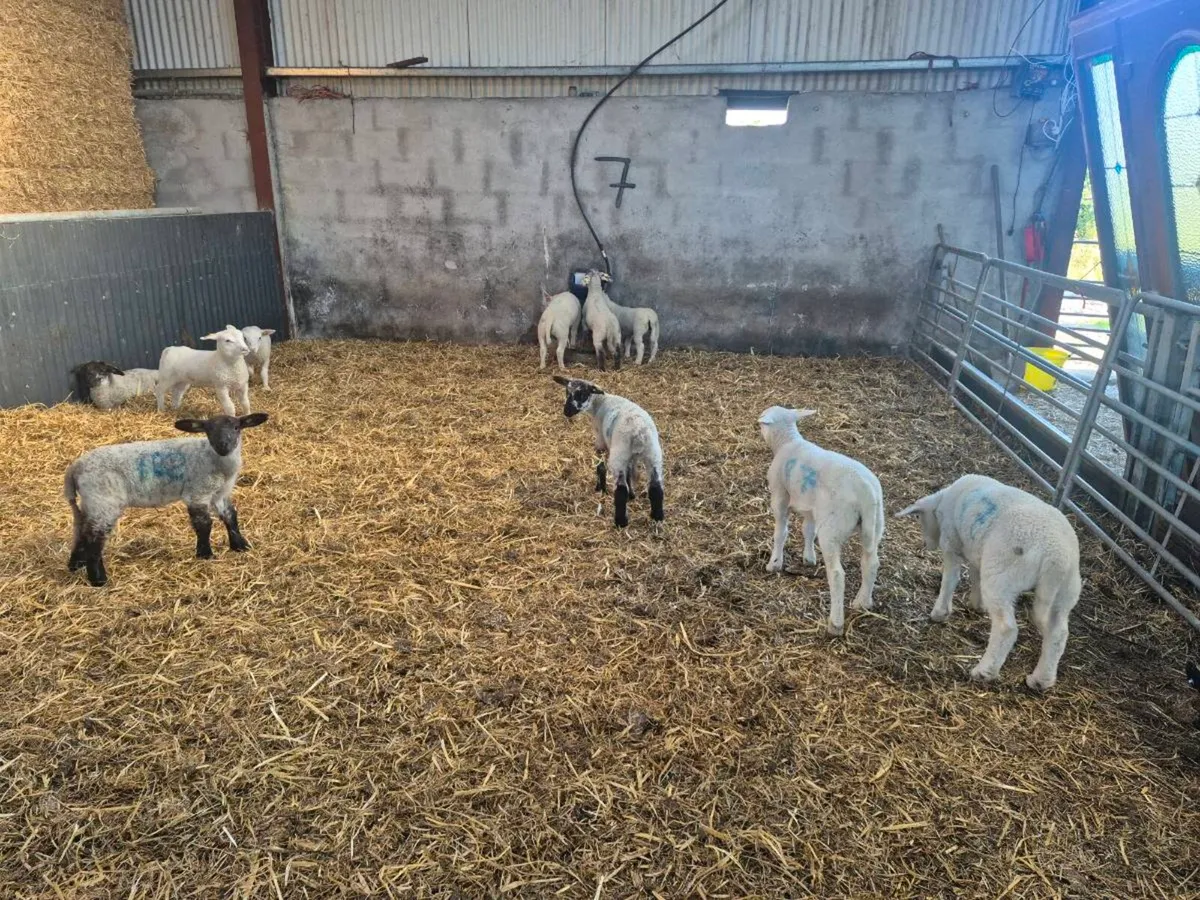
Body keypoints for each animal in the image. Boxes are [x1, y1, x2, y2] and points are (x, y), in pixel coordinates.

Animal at [63, 412, 269, 587]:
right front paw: (205, 554)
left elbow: (230, 517)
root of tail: (74, 469)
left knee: (81, 531)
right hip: (104, 502)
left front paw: (240, 546)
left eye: (236, 427)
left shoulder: (220, 494)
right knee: (94, 538)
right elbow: (204, 525)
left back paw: (76, 564)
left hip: (90, 503)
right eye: (208, 429)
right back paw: (98, 579)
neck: (214, 459)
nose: (223, 446)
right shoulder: (197, 493)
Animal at [553, 376, 663, 527]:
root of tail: (638, 433)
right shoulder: (629, 458)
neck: (600, 403)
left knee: (621, 490)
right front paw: (632, 495)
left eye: (582, 394)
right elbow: (629, 473)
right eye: (567, 392)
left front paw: (601, 488)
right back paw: (657, 517)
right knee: (656, 487)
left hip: (619, 455)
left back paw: (620, 522)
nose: (566, 412)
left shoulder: (600, 441)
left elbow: (600, 467)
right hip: (653, 455)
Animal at [758, 406, 885, 637]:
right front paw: (809, 558)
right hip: (875, 524)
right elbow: (808, 530)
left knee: (837, 574)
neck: (787, 441)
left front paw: (774, 563)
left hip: (832, 529)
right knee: (871, 563)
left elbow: (781, 532)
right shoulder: (812, 509)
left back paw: (835, 623)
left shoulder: (779, 496)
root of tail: (867, 492)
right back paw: (862, 602)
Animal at [897, 474, 1082, 691]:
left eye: (919, 518)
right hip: (1066, 590)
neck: (943, 502)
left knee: (1006, 628)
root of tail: (1056, 557)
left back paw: (984, 671)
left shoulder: (951, 543)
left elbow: (950, 579)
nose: (926, 545)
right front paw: (977, 604)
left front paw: (939, 613)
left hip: (1002, 577)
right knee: (1058, 634)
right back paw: (1041, 680)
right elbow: (975, 576)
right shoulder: (977, 553)